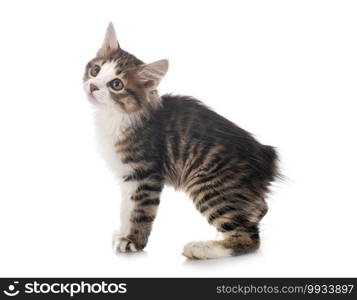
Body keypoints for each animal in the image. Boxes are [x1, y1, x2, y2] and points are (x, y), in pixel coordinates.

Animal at [82, 22, 278, 260]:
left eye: (116, 84)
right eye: (95, 70)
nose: (93, 86)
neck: (116, 116)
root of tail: (266, 156)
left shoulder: (147, 174)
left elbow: (140, 211)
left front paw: (133, 241)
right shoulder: (128, 176)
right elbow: (126, 208)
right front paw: (122, 233)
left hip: (208, 184)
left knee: (249, 238)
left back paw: (201, 248)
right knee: (257, 210)